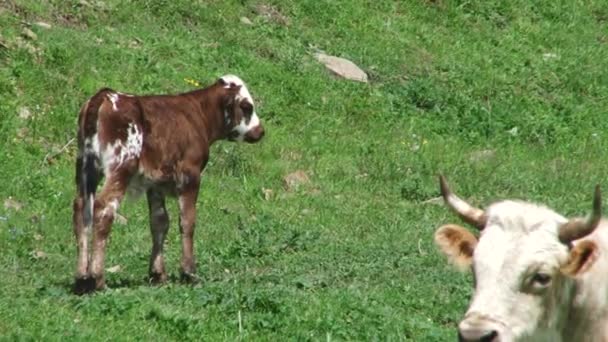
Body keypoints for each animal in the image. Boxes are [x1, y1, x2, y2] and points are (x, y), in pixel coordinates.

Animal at [71, 75, 264, 294]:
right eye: (247, 106)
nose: (260, 131)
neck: (198, 115)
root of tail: (104, 95)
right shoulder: (190, 175)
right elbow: (187, 221)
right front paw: (189, 272)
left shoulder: (155, 182)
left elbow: (159, 221)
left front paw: (157, 273)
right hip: (121, 166)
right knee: (104, 209)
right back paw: (98, 278)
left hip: (85, 167)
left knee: (81, 208)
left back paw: (82, 278)